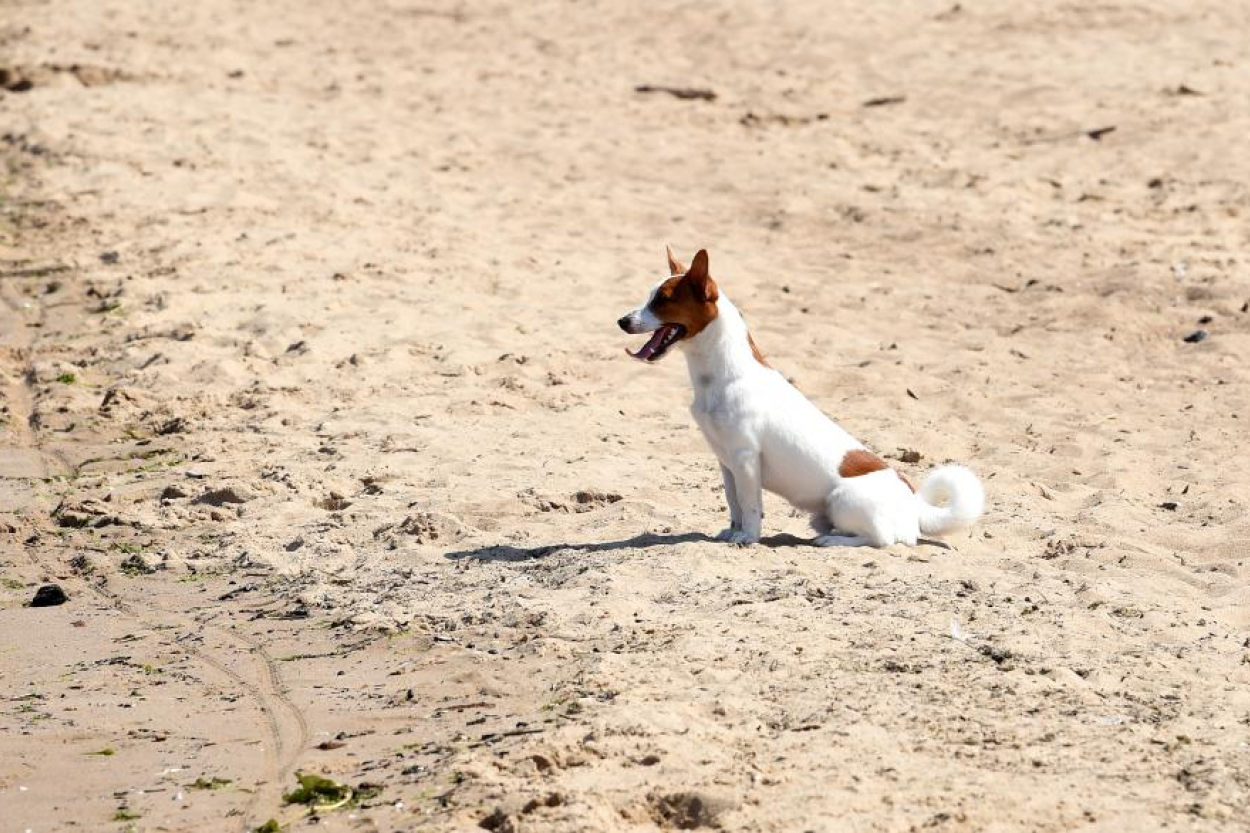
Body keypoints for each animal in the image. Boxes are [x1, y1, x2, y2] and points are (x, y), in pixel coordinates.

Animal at [617, 246, 985, 545]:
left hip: (842, 501)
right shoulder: (726, 461)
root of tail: (915, 505)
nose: (622, 320)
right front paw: (732, 531)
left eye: (662, 300)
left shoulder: (746, 458)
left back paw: (834, 541)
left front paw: (748, 537)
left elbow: (750, 505)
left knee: (886, 540)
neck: (723, 375)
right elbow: (734, 503)